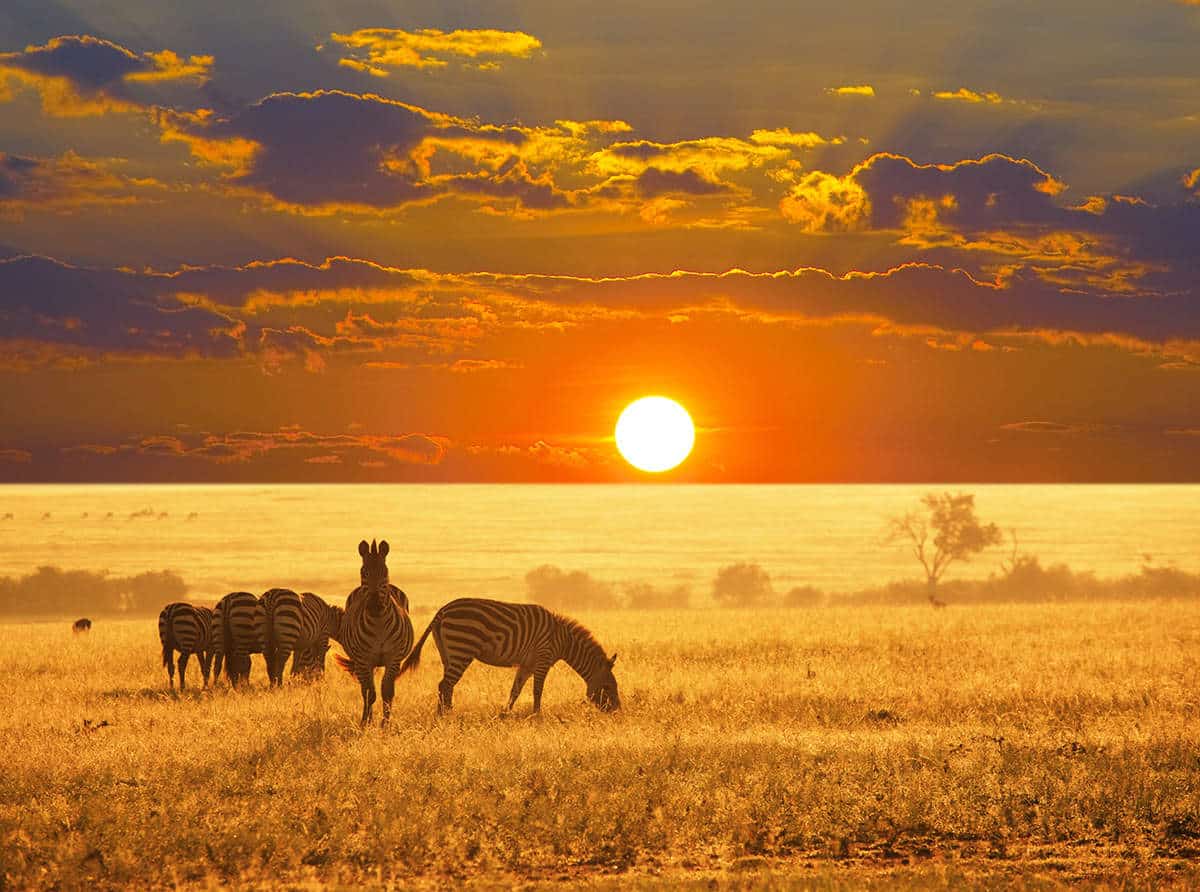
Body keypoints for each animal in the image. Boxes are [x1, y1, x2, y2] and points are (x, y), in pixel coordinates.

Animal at [336, 540, 415, 729]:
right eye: (363, 572)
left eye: (384, 572)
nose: (374, 604)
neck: (379, 622)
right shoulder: (364, 660)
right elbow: (369, 693)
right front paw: (366, 723)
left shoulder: (393, 659)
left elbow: (387, 692)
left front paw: (385, 725)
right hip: (362, 663)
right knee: (365, 690)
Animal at [398, 600, 619, 720]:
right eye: (608, 687)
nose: (618, 712)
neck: (563, 640)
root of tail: (442, 610)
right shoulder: (543, 659)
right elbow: (537, 690)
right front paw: (537, 716)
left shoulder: (527, 664)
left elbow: (516, 690)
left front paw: (505, 714)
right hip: (462, 648)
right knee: (445, 684)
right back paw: (444, 717)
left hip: (448, 653)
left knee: (446, 685)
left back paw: (446, 714)